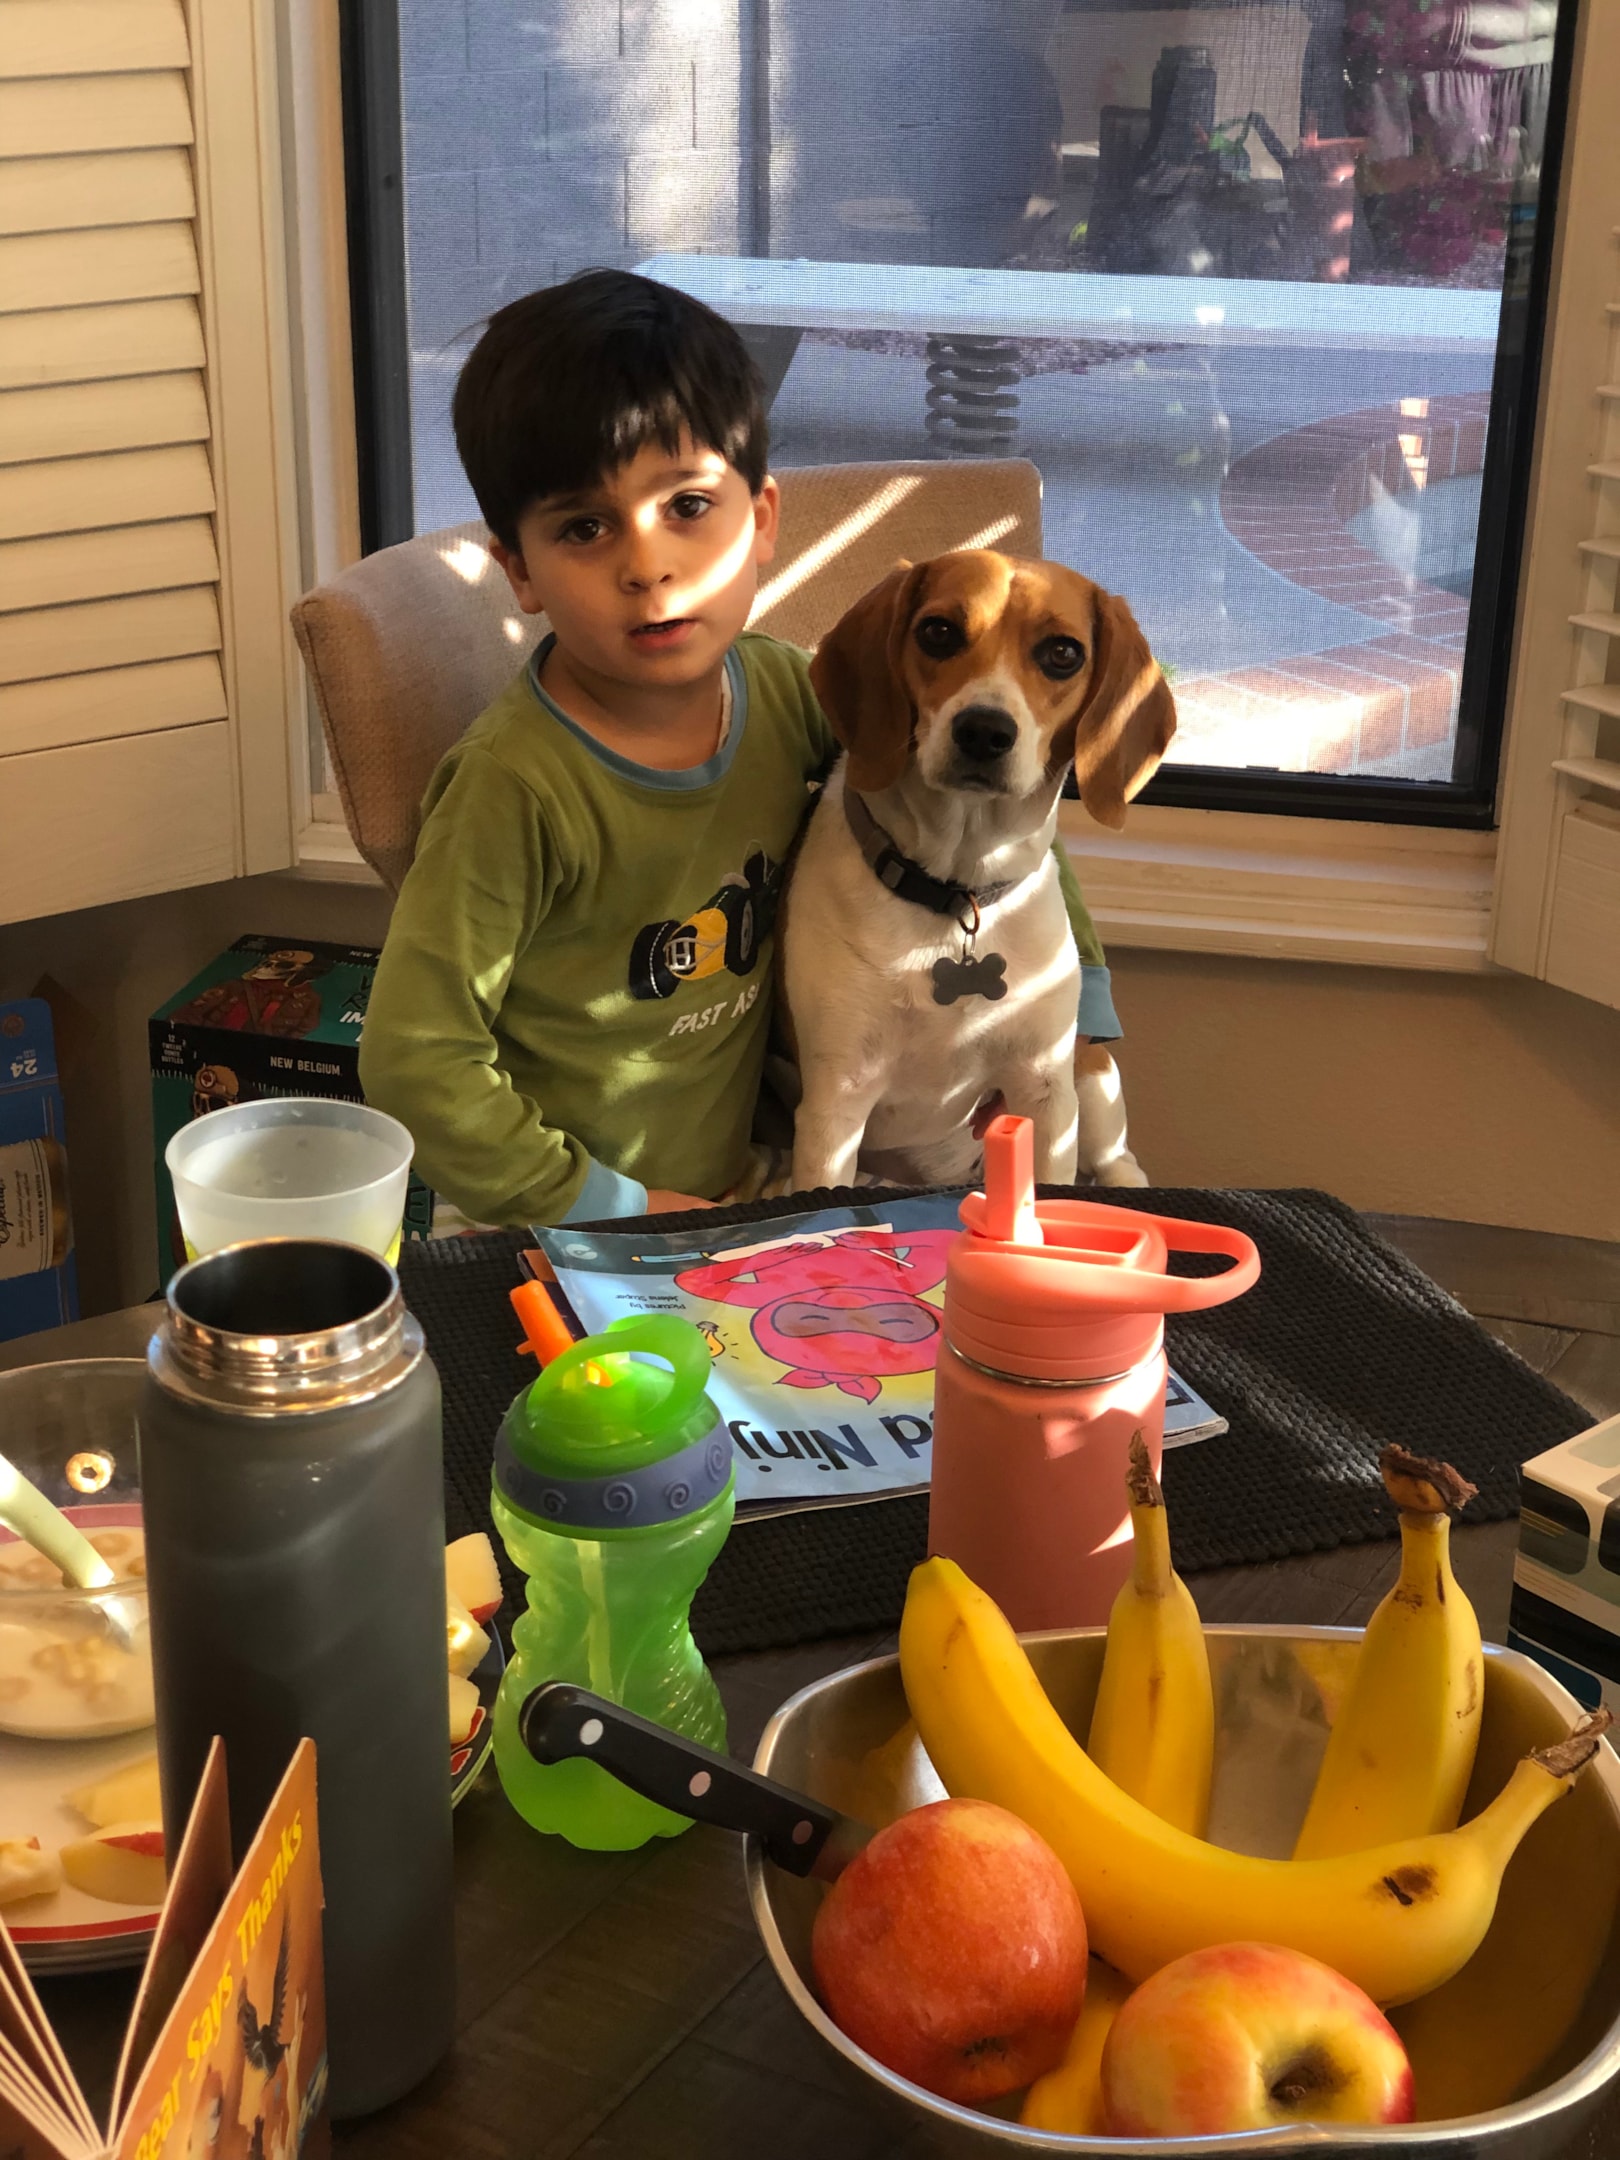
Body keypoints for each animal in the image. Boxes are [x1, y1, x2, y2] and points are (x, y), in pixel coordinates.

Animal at [781, 548, 1175, 1192]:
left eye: (1063, 653)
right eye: (938, 632)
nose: (984, 730)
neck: (955, 892)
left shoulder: (1045, 1094)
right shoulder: (834, 1104)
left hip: (1089, 1071)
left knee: (1119, 1160)